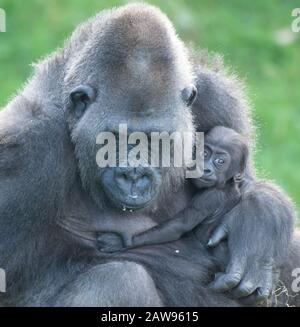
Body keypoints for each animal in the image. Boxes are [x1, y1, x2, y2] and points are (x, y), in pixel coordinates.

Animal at [97, 125, 247, 251]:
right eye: (204, 153)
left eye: (220, 161)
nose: (206, 169)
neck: (227, 183)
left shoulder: (208, 197)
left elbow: (180, 225)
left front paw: (121, 243)